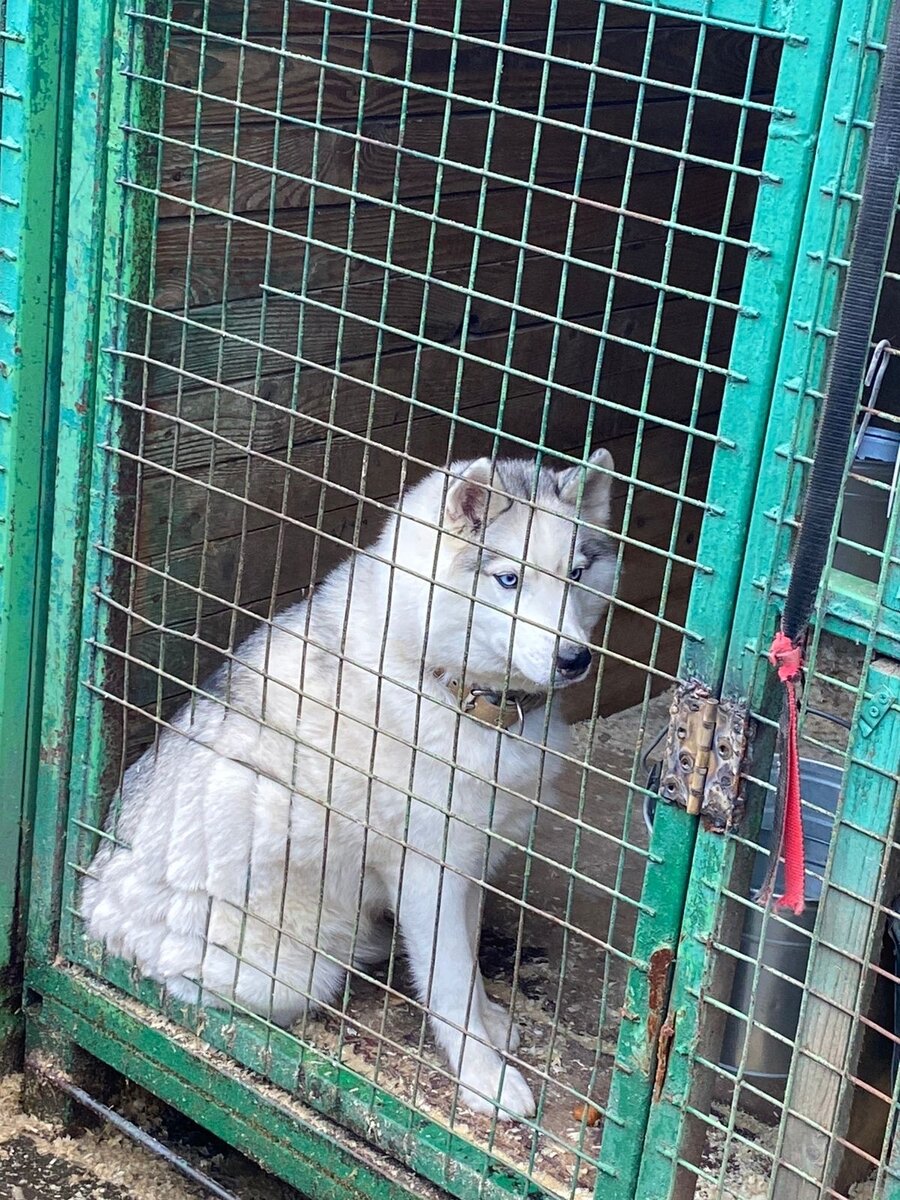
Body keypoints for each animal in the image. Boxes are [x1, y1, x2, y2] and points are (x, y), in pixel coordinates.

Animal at [81, 448, 619, 1113]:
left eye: (577, 573)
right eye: (508, 580)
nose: (574, 659)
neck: (453, 689)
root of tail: (90, 899)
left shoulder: (470, 862)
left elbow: (468, 968)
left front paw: (492, 1026)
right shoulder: (428, 872)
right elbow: (451, 987)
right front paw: (485, 1080)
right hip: (282, 938)